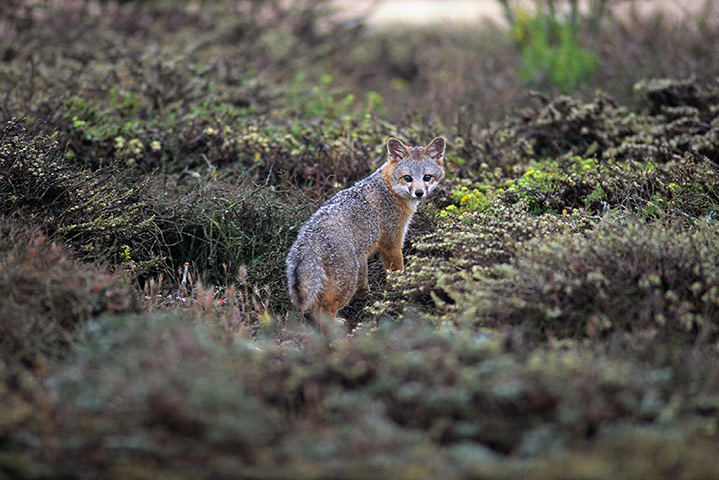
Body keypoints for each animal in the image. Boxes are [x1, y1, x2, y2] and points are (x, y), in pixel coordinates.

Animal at [286, 136, 446, 327]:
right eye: (407, 178)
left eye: (427, 177)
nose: (419, 192)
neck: (388, 188)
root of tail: (308, 237)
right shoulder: (391, 243)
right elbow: (397, 271)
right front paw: (403, 290)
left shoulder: (362, 254)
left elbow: (364, 280)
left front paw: (367, 296)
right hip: (345, 282)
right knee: (323, 310)